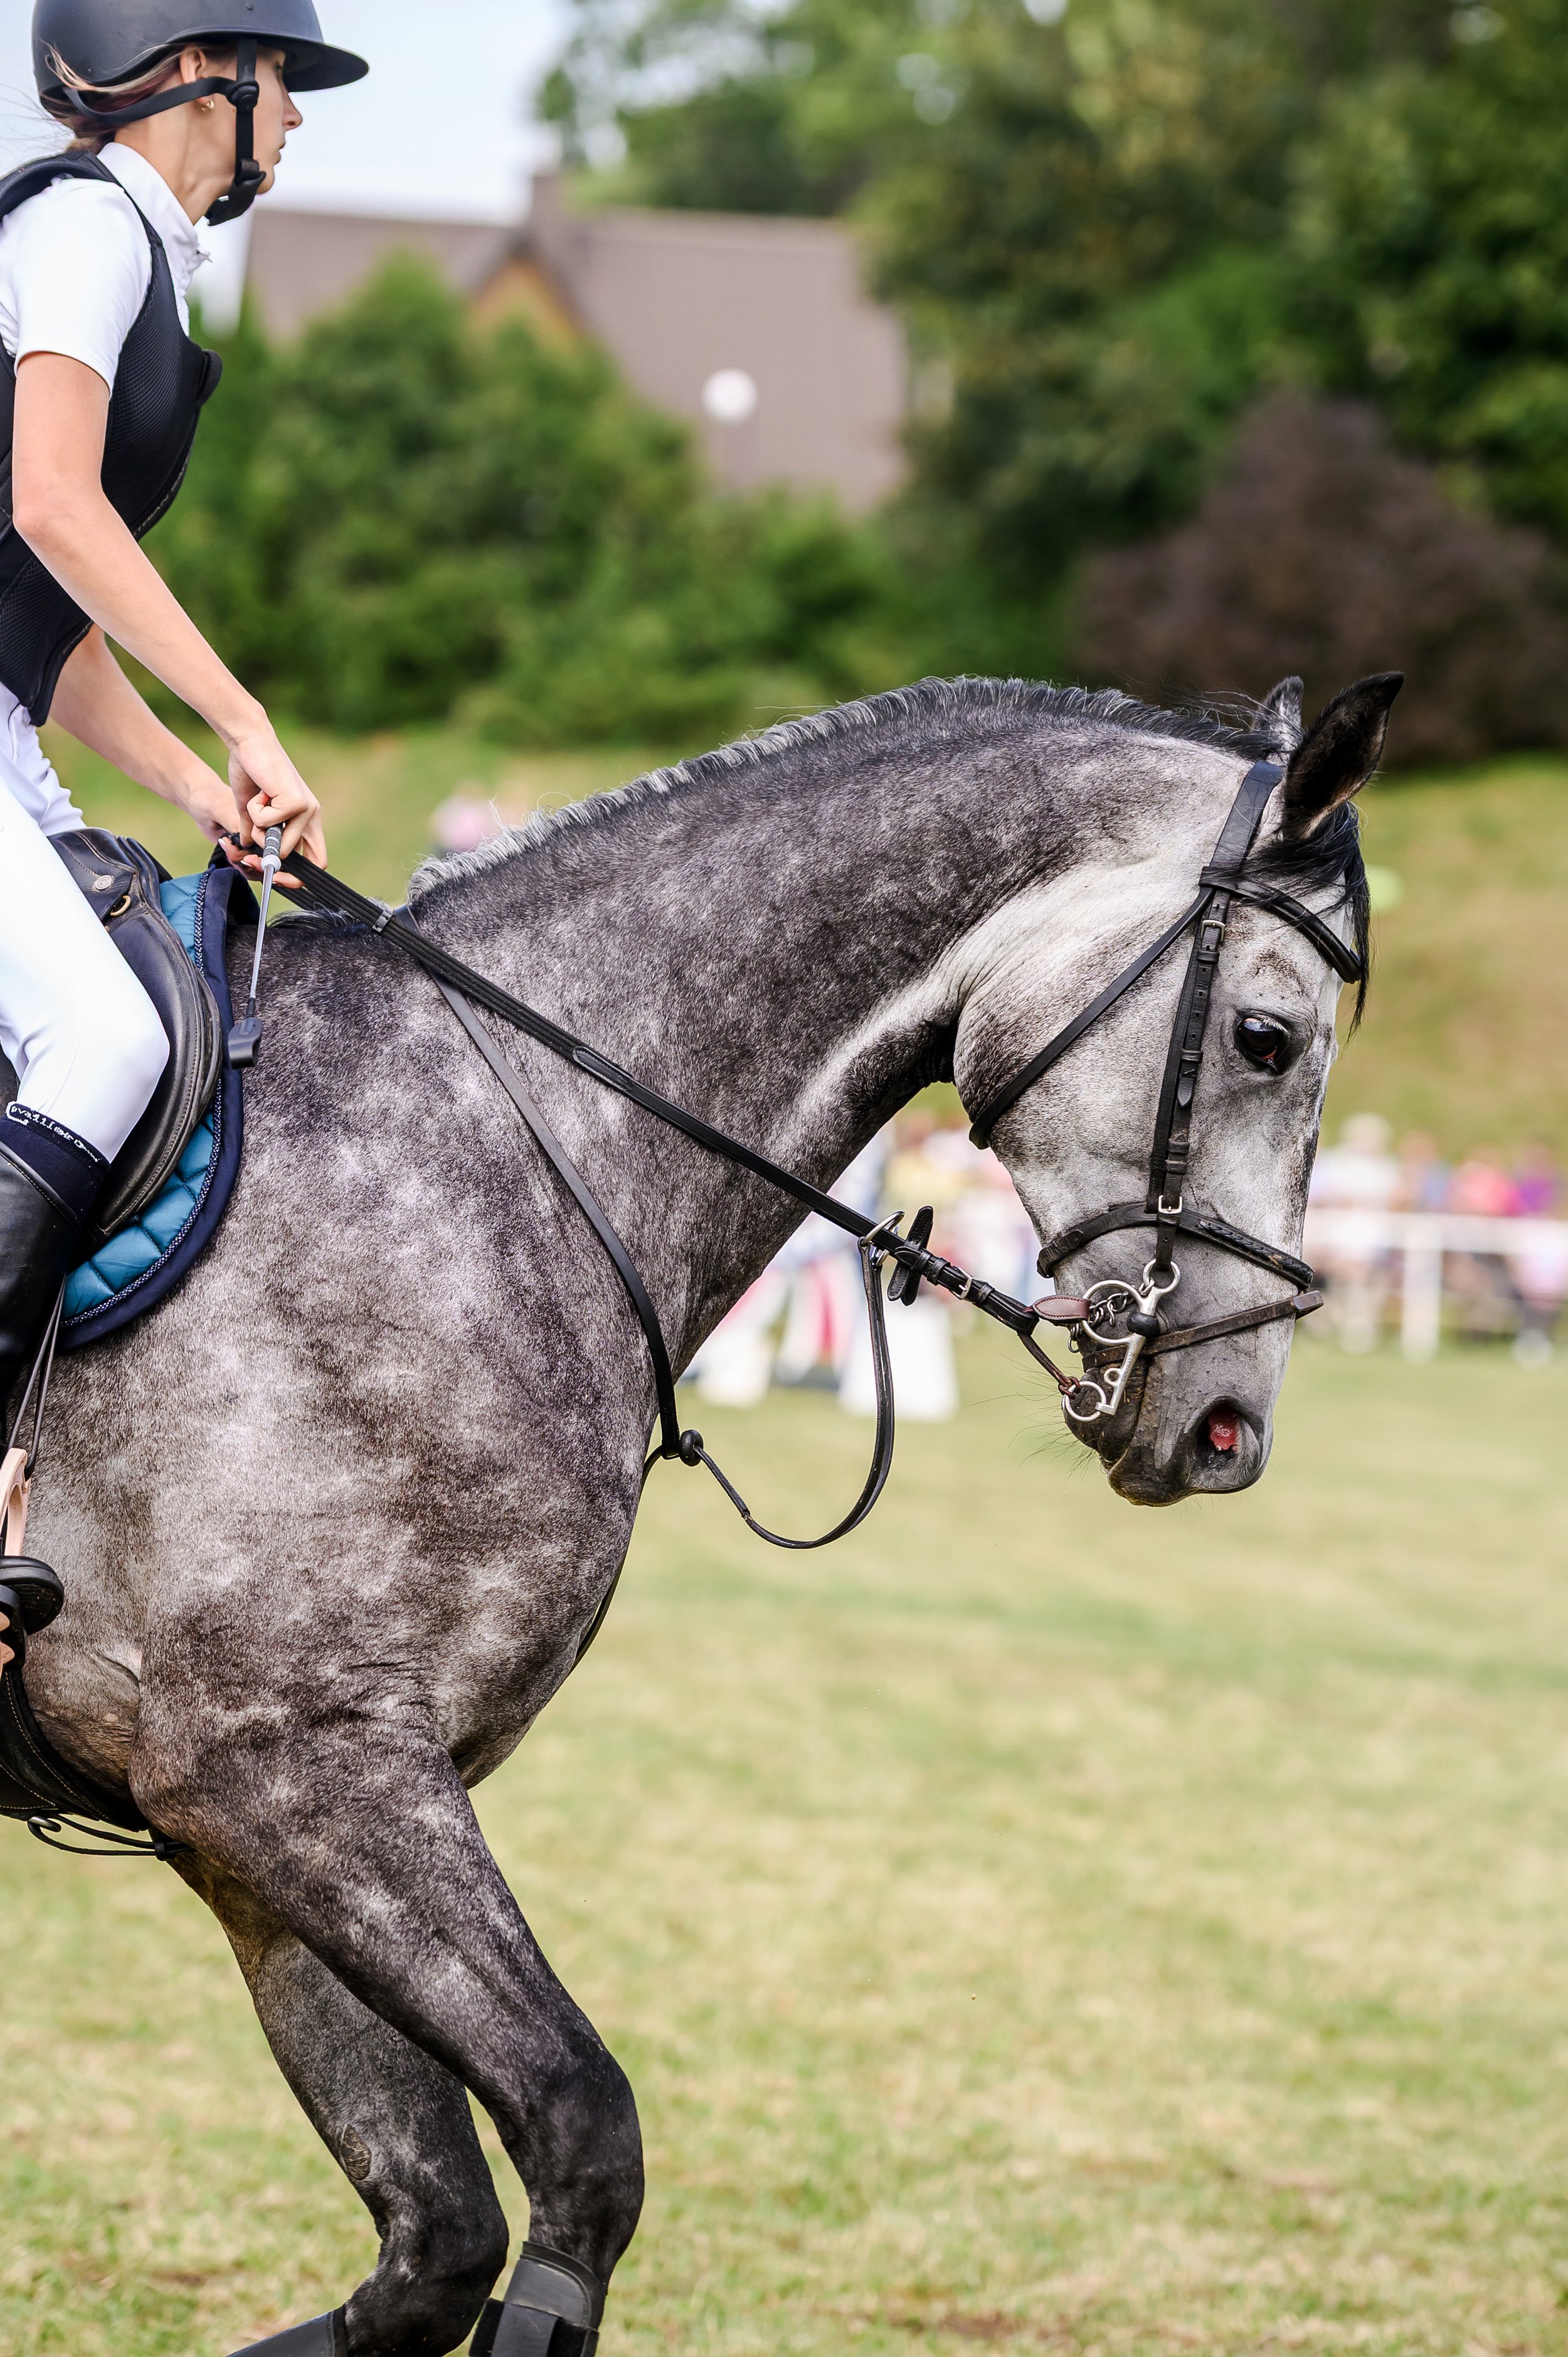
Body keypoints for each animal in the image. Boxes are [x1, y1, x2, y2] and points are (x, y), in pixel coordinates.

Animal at [17, 670, 1390, 2354]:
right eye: (1264, 1036)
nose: (1225, 1426)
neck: (506, 1136)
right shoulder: (282, 1765)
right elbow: (584, 2135)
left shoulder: (260, 1832)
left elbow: (436, 2241)